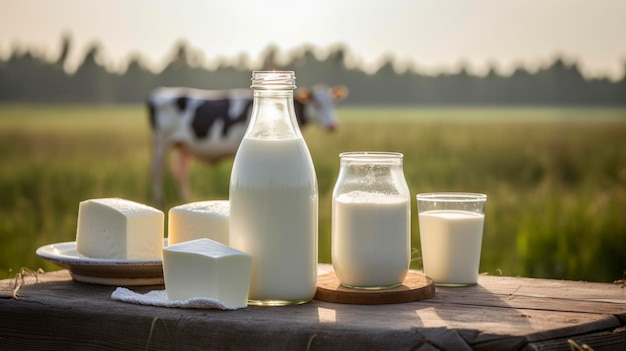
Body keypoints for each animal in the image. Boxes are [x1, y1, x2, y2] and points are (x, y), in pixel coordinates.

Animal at [149, 85, 348, 205]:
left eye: (333, 103)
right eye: (316, 104)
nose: (333, 125)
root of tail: (160, 92)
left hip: (183, 145)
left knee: (180, 170)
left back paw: (186, 198)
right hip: (161, 141)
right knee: (158, 170)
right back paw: (159, 200)